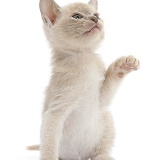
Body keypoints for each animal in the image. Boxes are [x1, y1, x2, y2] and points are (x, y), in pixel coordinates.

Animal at [31, 0, 140, 160]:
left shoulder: (100, 100)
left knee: (99, 152)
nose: (95, 19)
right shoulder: (55, 111)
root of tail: (81, 157)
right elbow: (49, 146)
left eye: (96, 15)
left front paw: (125, 63)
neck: (84, 58)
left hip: (106, 116)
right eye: (77, 16)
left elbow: (110, 80)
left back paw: (103, 156)